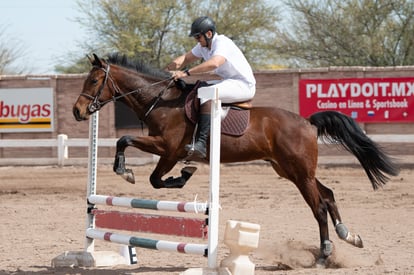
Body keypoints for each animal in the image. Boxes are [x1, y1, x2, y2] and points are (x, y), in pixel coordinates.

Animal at [73, 53, 400, 268]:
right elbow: (148, 171)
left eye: (94, 80)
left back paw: (324, 254)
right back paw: (348, 237)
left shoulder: (168, 149)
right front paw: (174, 175)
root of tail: (308, 122)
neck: (161, 101)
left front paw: (131, 171)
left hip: (299, 172)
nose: (78, 111)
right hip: (291, 171)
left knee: (319, 206)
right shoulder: (167, 152)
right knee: (328, 195)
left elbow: (131, 149)